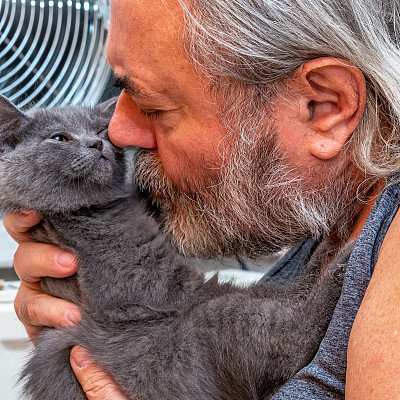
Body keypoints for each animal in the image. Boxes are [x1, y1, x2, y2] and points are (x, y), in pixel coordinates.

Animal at [0, 96, 350, 400]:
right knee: (290, 332)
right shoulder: (142, 277)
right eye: (59, 138)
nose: (97, 144)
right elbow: (191, 287)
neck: (99, 209)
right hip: (202, 331)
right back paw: (337, 262)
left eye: (100, 132)